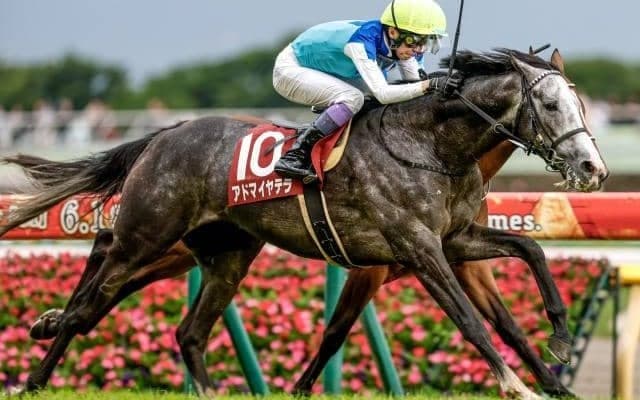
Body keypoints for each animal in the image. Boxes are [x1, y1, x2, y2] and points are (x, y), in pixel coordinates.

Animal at [0, 48, 608, 399]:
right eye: (552, 107)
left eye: (581, 104)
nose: (592, 169)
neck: (432, 147)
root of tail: (164, 135)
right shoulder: (418, 249)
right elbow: (470, 323)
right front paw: (520, 387)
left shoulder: (455, 240)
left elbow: (531, 253)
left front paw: (559, 339)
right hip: (150, 233)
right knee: (98, 284)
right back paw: (43, 353)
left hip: (223, 253)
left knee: (185, 330)